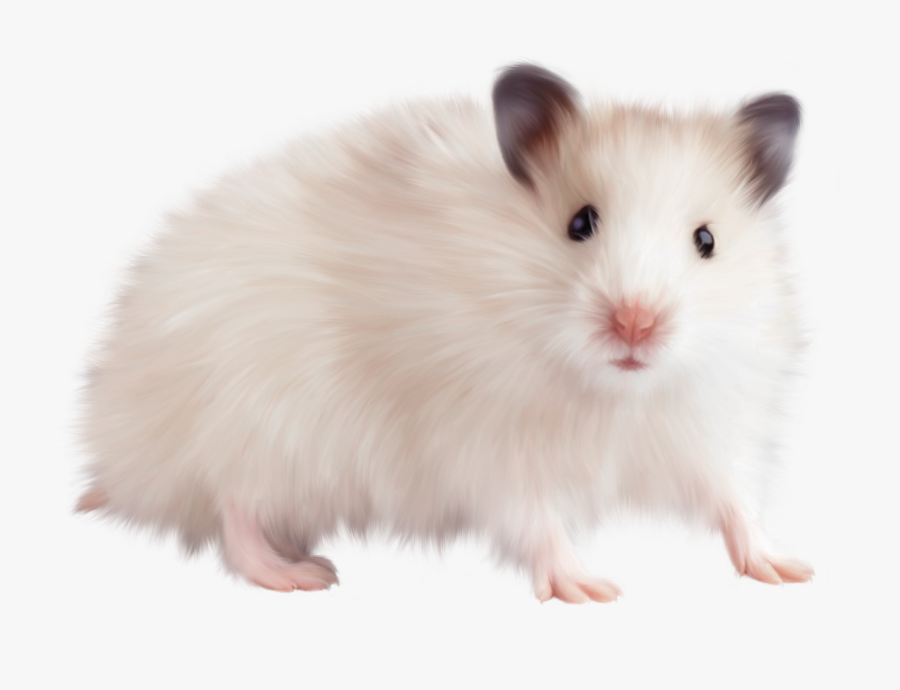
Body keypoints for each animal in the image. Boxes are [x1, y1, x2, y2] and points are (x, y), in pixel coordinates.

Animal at [76, 64, 813, 603]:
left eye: (706, 240)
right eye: (579, 223)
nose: (637, 323)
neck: (611, 393)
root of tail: (123, 452)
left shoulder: (706, 428)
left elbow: (734, 501)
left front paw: (786, 570)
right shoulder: (487, 448)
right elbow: (536, 519)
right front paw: (590, 589)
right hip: (255, 423)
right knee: (232, 509)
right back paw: (302, 575)